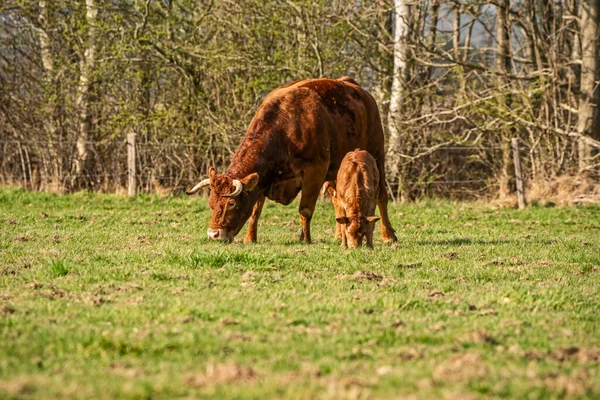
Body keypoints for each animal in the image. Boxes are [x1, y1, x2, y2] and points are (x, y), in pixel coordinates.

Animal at [185, 76, 396, 244]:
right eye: (211, 202)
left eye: (231, 203)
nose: (213, 234)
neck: (286, 127)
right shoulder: (263, 178)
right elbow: (255, 210)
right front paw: (250, 238)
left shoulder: (314, 172)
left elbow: (305, 210)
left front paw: (305, 239)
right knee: (338, 199)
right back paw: (339, 235)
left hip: (377, 154)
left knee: (381, 196)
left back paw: (389, 235)